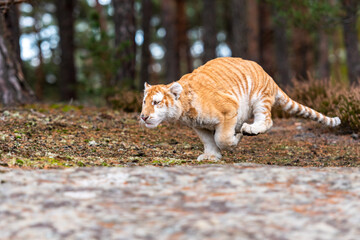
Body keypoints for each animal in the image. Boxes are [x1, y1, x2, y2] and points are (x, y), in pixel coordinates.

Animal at [139, 57, 340, 160]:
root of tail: (269, 76)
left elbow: (221, 138)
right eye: (144, 102)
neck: (185, 110)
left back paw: (250, 130)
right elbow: (208, 141)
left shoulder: (228, 110)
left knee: (268, 120)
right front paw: (211, 156)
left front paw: (235, 141)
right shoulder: (199, 125)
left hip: (260, 99)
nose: (143, 117)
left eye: (156, 102)